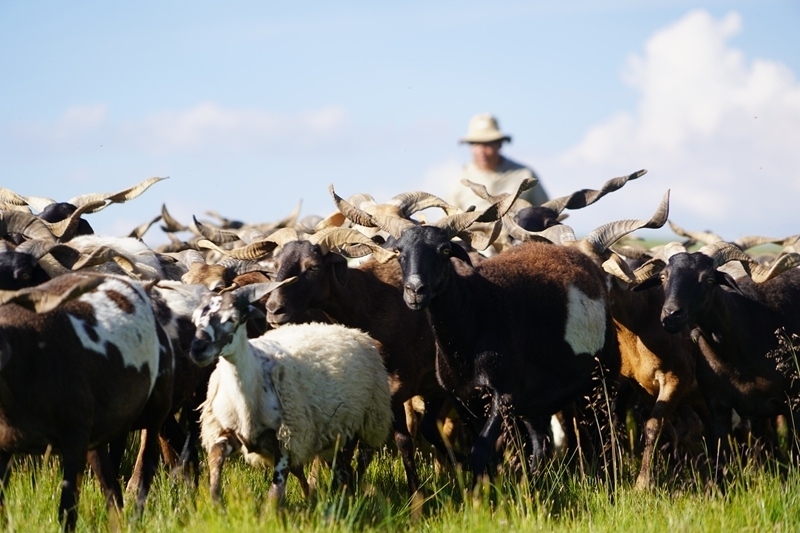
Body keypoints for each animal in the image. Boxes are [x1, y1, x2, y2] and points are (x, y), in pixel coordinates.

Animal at [0, 272, 173, 530]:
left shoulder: (74, 439)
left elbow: (67, 513)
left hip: (156, 409)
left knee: (146, 467)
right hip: (97, 435)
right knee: (112, 492)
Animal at [189, 281, 393, 505]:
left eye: (232, 318)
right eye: (195, 319)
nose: (198, 350)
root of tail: (349, 330)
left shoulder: (286, 440)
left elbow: (274, 495)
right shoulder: (226, 431)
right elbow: (216, 458)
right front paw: (216, 501)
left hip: (371, 421)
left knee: (361, 458)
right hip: (333, 431)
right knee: (334, 464)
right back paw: (323, 494)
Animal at [330, 184, 621, 481]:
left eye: (445, 249)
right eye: (399, 251)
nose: (415, 291)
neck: (476, 313)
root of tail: (582, 259)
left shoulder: (504, 394)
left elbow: (481, 451)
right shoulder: (463, 397)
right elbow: (473, 448)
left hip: (601, 377)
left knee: (604, 430)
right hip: (536, 398)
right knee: (541, 439)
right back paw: (534, 480)